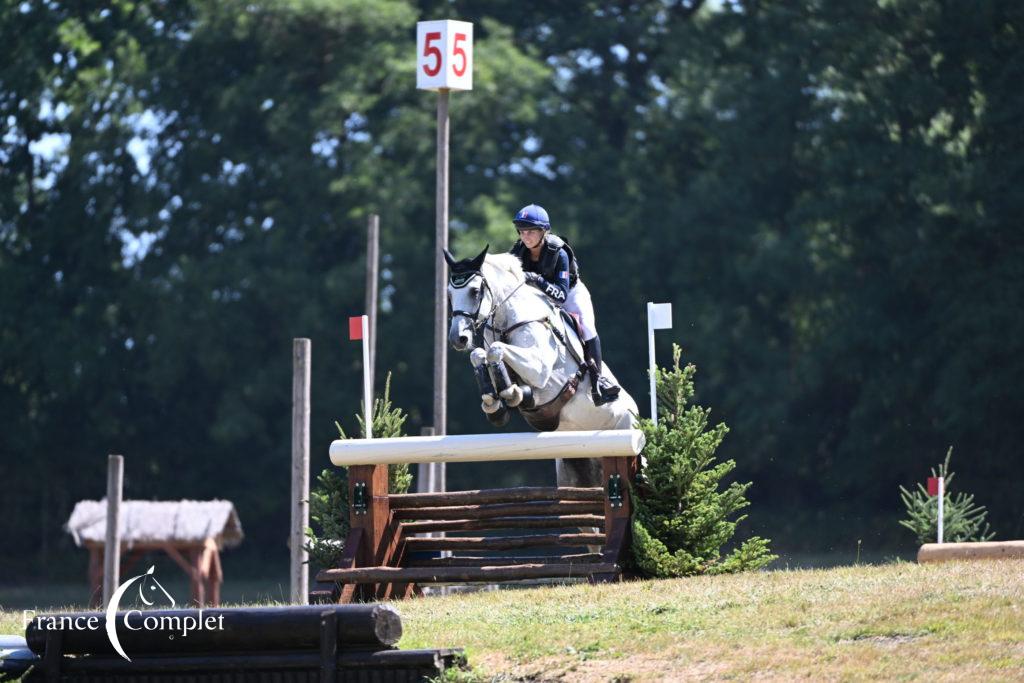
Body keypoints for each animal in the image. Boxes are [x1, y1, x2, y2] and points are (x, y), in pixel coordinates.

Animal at [444, 248, 634, 489]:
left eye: (475, 291)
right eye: (449, 295)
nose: (458, 338)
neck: (507, 320)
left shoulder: (539, 368)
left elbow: (496, 350)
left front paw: (511, 393)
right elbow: (479, 355)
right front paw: (495, 404)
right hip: (573, 469)